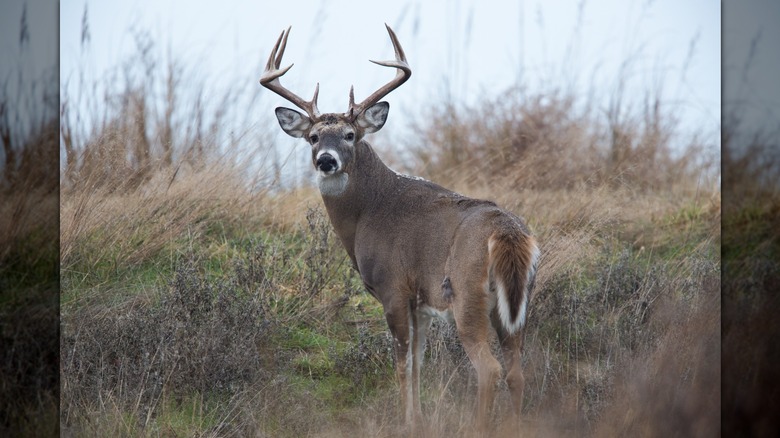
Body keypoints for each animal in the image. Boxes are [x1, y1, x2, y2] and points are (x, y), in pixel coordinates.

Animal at [260, 24, 540, 432]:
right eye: (313, 137)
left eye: (349, 135)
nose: (326, 160)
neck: (368, 213)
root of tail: (508, 233)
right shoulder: (419, 303)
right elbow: (419, 365)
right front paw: (418, 419)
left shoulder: (392, 287)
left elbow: (402, 366)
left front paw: (405, 423)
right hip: (516, 307)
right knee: (517, 371)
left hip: (467, 294)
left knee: (489, 369)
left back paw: (478, 427)